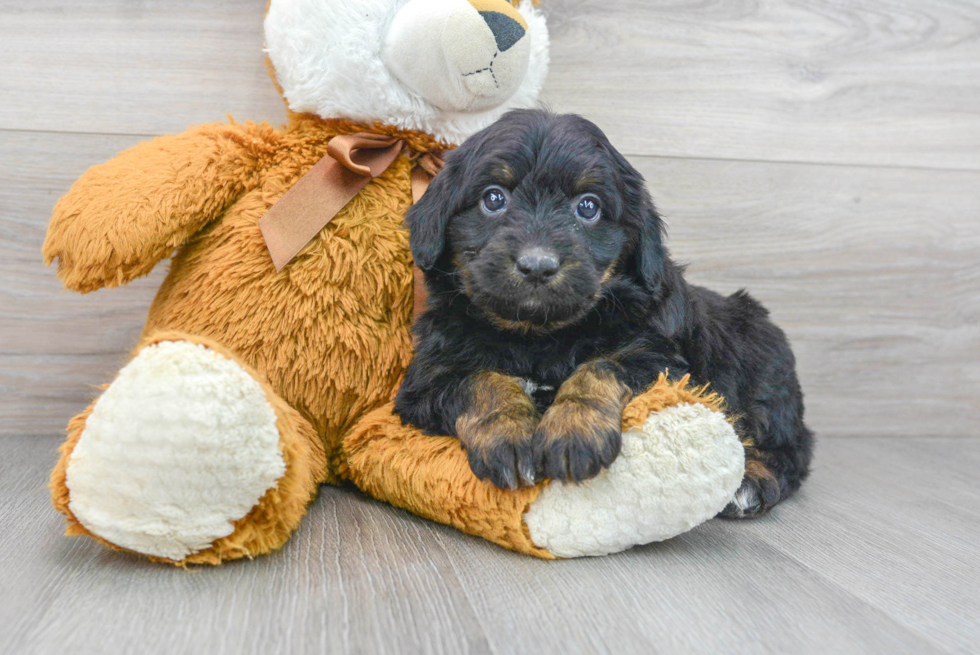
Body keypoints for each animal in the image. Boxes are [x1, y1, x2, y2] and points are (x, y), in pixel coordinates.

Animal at [394, 109, 816, 516]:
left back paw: (752, 481)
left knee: (791, 445)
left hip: (762, 369)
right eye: (493, 199)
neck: (538, 335)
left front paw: (573, 431)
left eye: (588, 207)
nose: (537, 266)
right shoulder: (428, 378)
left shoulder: (657, 356)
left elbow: (601, 366)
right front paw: (509, 436)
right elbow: (480, 381)